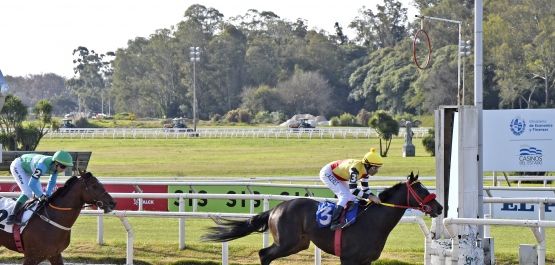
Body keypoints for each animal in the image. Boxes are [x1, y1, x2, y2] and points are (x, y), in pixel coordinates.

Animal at [202, 171, 446, 264]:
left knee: (267, 254)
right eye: (421, 189)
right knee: (264, 254)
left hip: (299, 244)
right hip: (287, 241)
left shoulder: (366, 260)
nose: (440, 207)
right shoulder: (348, 259)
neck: (372, 222)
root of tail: (276, 208)